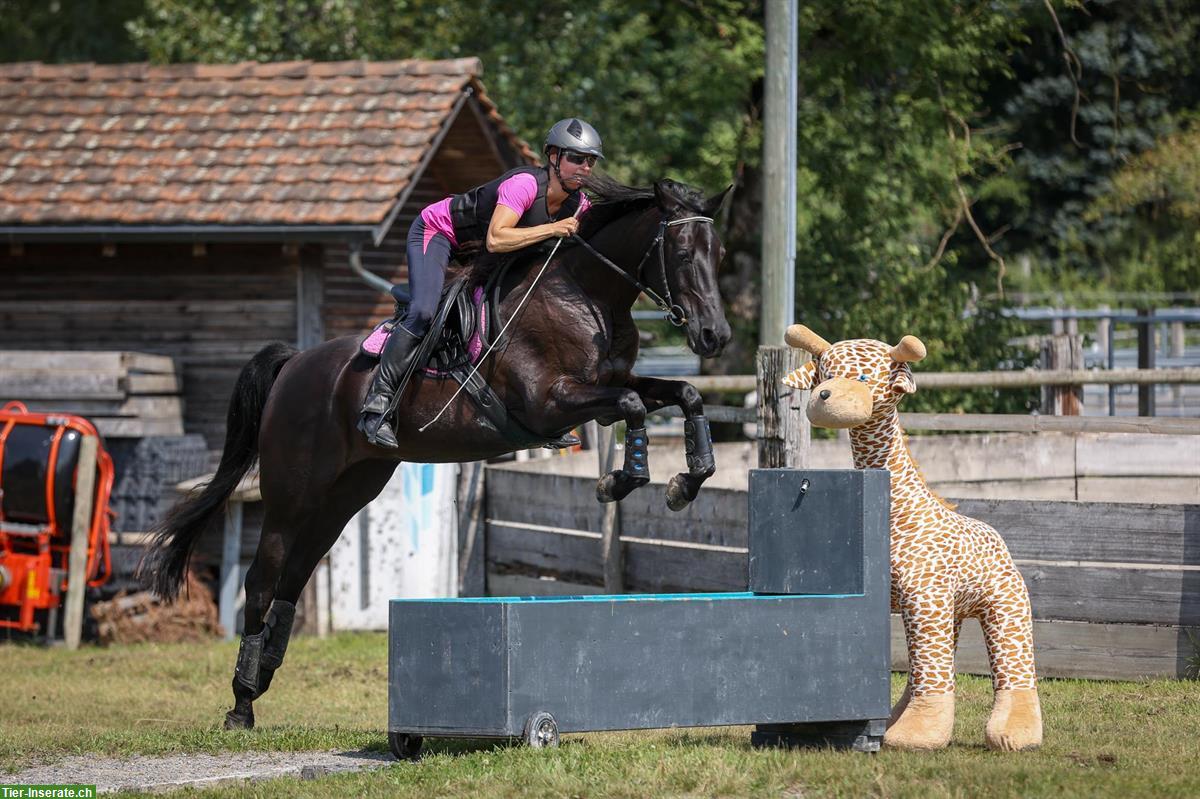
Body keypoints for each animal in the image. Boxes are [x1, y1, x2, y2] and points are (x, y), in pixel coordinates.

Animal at [138, 173, 729, 729]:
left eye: (718, 254)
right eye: (681, 254)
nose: (714, 336)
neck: (585, 294)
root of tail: (294, 364)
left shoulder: (603, 396)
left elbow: (683, 394)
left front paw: (688, 480)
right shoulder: (550, 404)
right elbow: (631, 404)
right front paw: (620, 481)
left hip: (346, 493)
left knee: (295, 575)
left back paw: (260, 678)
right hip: (291, 494)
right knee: (262, 580)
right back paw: (241, 703)